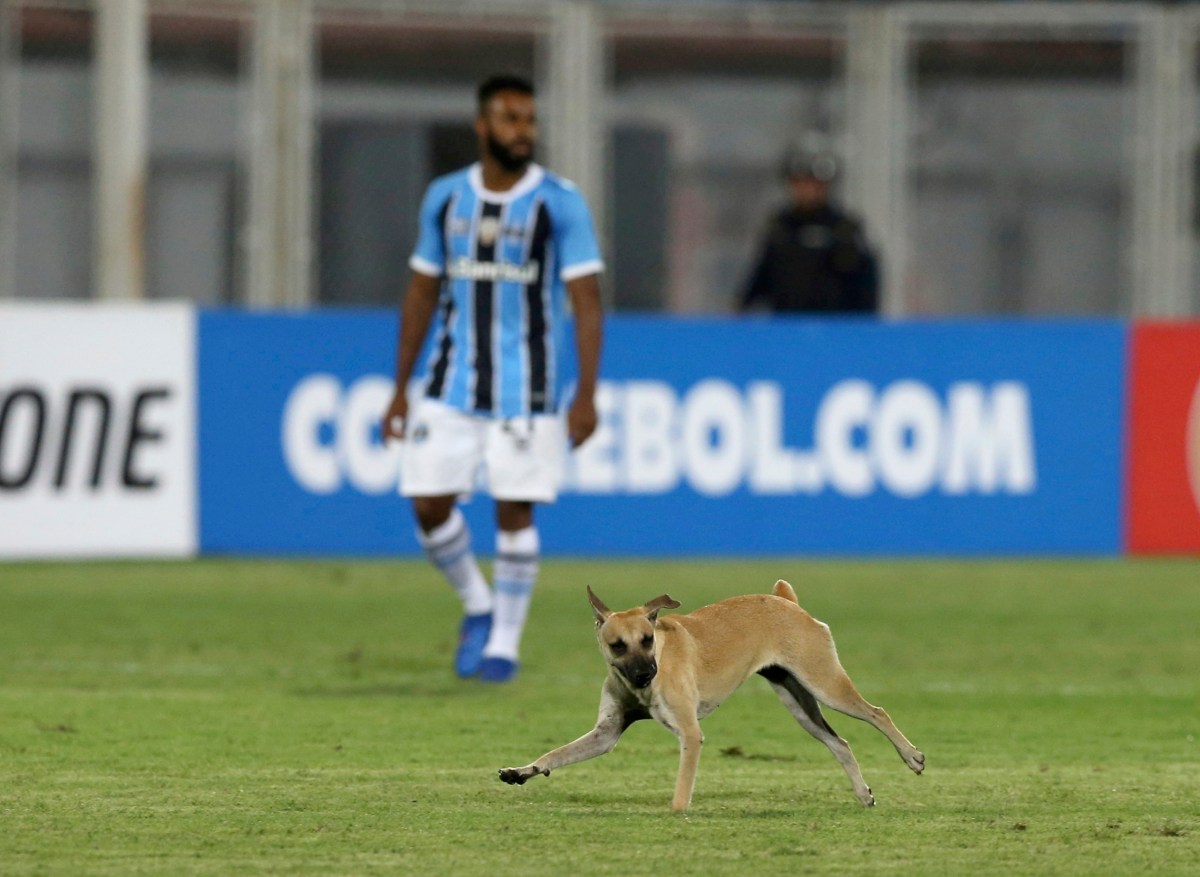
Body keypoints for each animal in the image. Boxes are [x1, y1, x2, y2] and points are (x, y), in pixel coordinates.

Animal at [496, 580, 926, 811]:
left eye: (647, 639)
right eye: (618, 645)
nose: (645, 674)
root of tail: (786, 601)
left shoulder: (690, 733)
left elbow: (682, 786)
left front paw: (676, 812)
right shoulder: (606, 733)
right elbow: (556, 754)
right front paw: (522, 771)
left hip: (826, 684)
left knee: (878, 713)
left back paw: (912, 756)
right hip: (799, 704)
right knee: (841, 744)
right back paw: (863, 794)